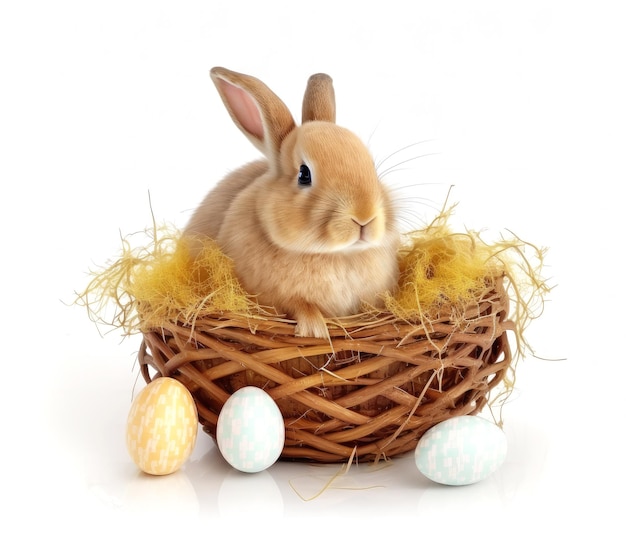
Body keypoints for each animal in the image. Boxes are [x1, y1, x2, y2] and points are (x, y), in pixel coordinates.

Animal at [184, 67, 400, 340]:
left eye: (371, 167)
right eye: (304, 174)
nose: (364, 216)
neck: (335, 254)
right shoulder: (275, 297)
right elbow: (298, 305)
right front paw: (314, 329)